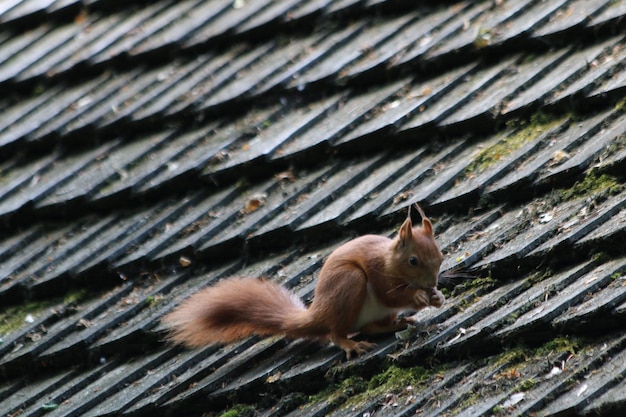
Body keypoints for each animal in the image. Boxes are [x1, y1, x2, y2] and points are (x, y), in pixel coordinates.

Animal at [161, 204, 444, 358]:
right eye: (413, 261)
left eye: (441, 257)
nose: (431, 284)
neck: (389, 259)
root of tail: (319, 313)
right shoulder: (379, 273)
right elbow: (391, 294)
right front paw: (418, 296)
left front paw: (437, 297)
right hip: (350, 282)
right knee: (335, 332)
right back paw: (350, 343)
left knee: (371, 327)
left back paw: (397, 323)